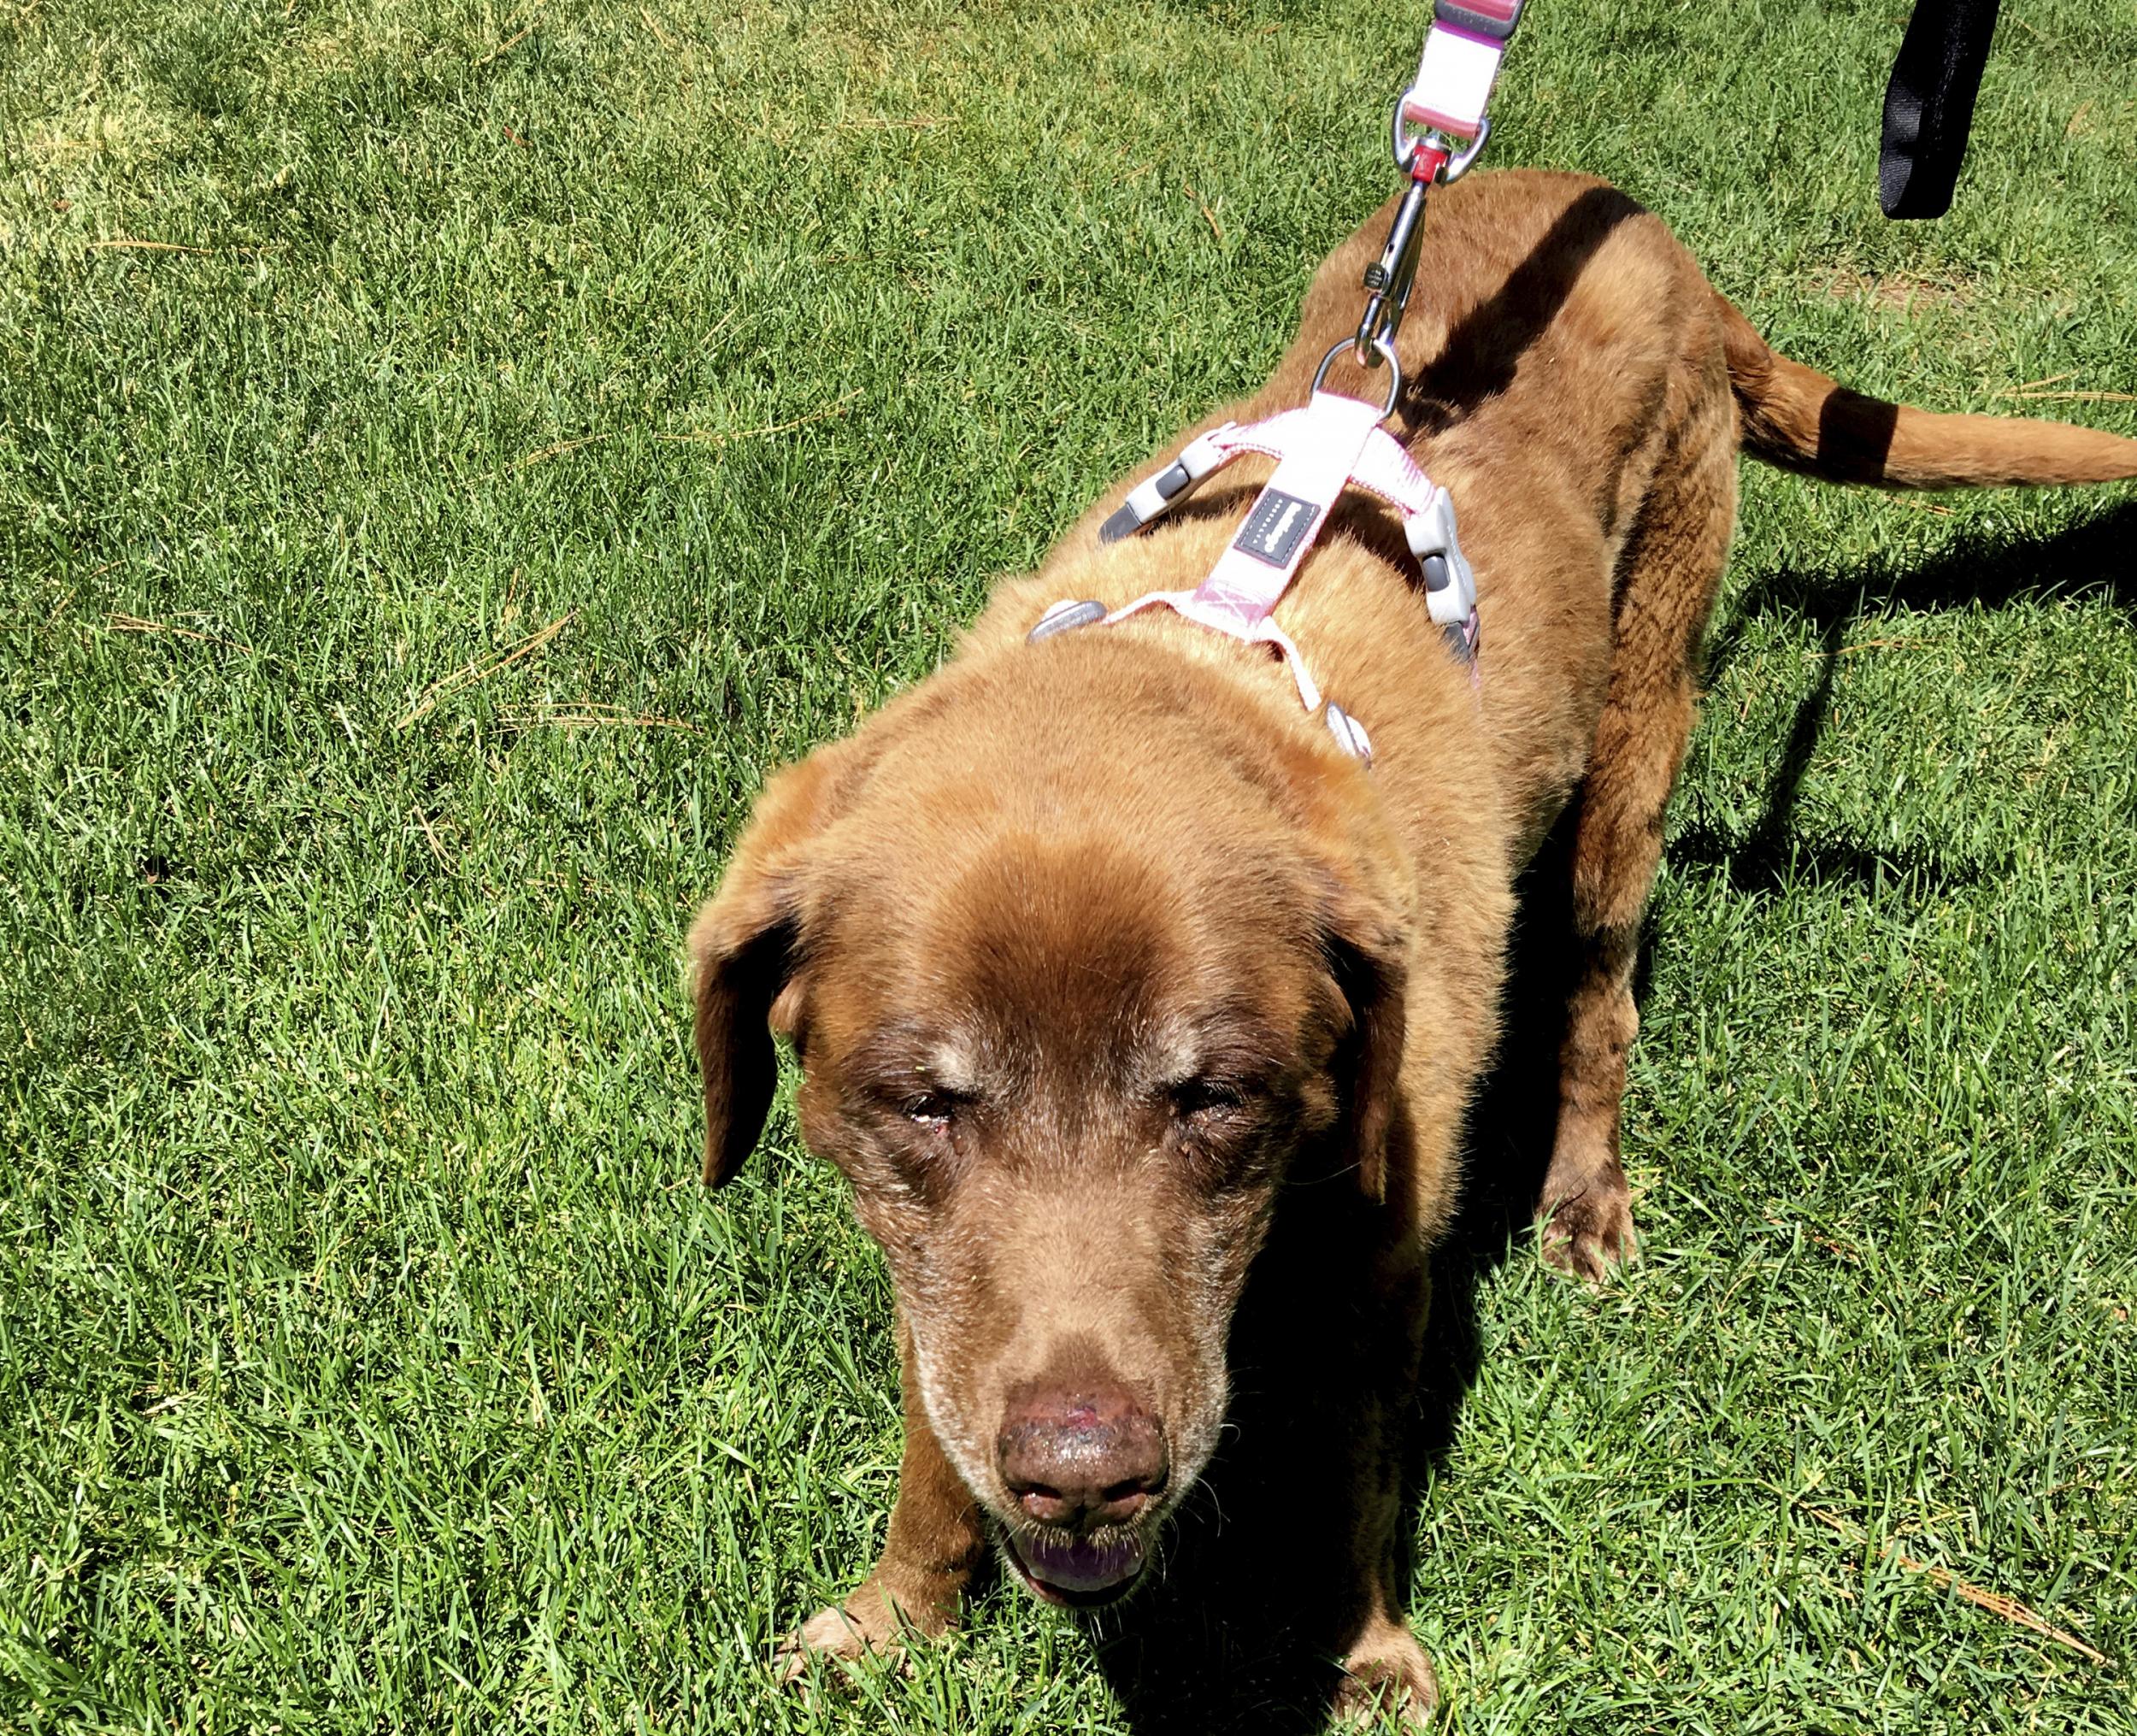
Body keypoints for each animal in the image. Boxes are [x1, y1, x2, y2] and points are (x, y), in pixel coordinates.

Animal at [688, 169, 2137, 1718]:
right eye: (921, 1103)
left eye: (1219, 1095)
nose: (1086, 1476)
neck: (1213, 649)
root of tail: (1628, 215)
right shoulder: (937, 1269)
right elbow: (933, 1432)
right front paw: (897, 1613)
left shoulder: (1383, 1268)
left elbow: (1351, 1481)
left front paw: (1365, 1653)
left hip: (1635, 738)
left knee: (1601, 1001)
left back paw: (1585, 1194)